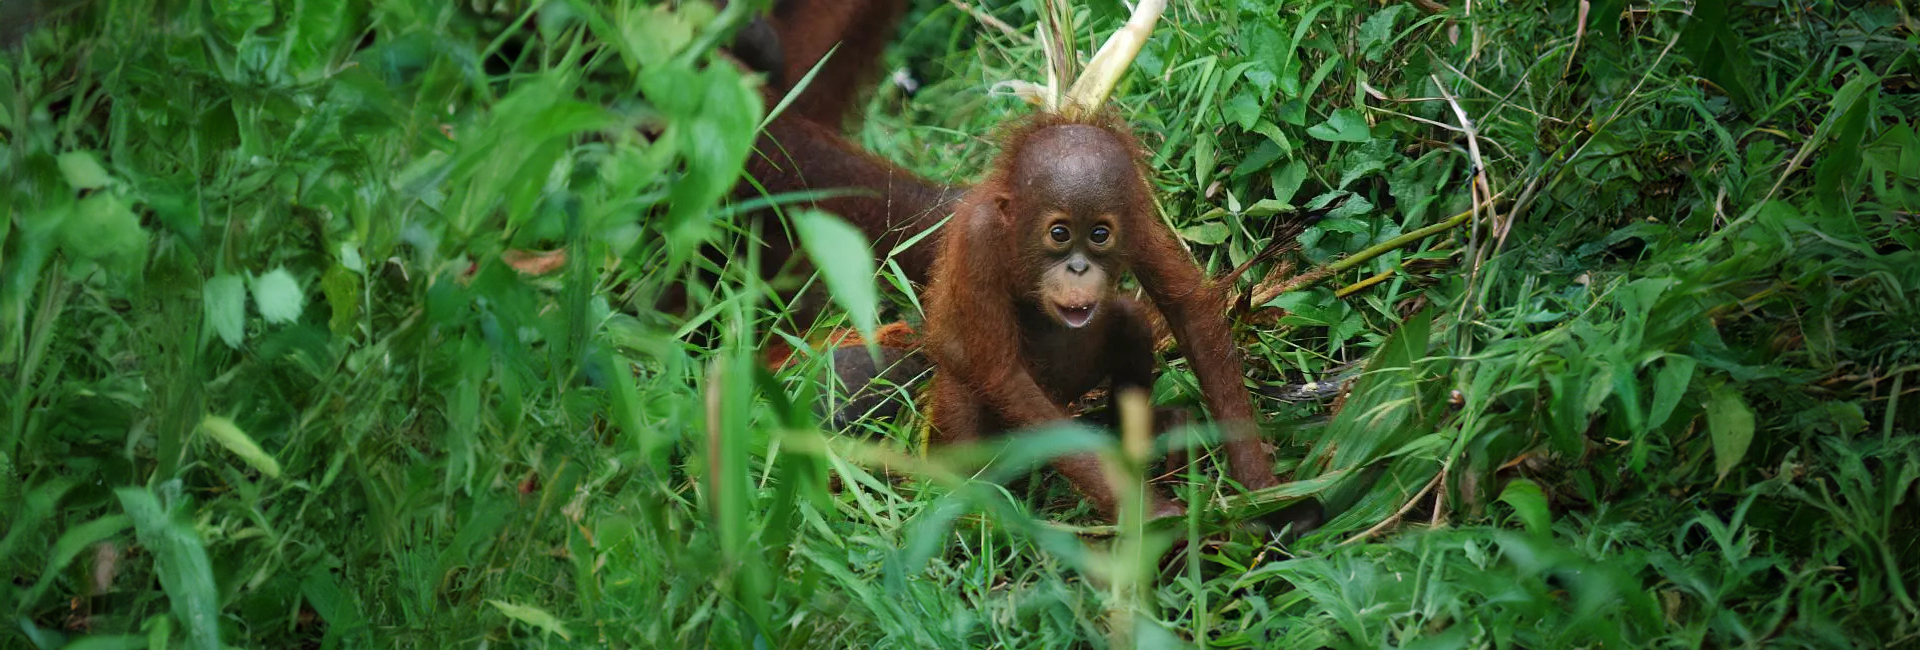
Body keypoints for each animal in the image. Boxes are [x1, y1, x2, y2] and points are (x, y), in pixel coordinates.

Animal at [921, 113, 1280, 521]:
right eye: (1059, 233)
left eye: (1099, 234)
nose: (1078, 268)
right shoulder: (977, 237)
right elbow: (1004, 375)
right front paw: (1147, 512)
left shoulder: (1137, 221)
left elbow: (1187, 309)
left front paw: (1260, 482)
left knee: (1128, 317)